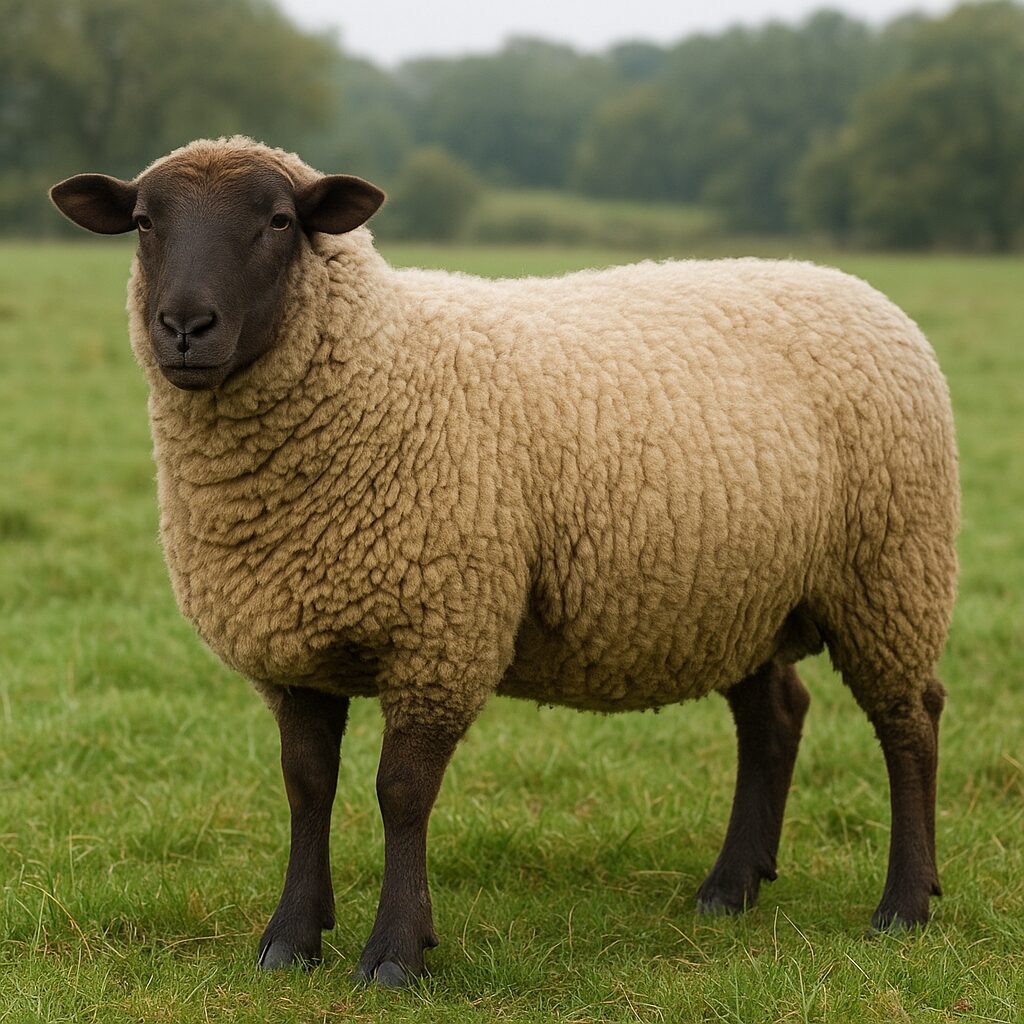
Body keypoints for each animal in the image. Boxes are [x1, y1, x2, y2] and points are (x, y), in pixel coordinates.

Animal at [50, 136, 959, 988]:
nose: (184, 328)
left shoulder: (443, 631)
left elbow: (400, 793)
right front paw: (289, 942)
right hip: (742, 593)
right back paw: (730, 889)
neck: (377, 362)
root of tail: (853, 285)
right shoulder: (292, 642)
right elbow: (306, 785)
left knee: (909, 723)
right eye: (143, 223)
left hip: (891, 569)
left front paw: (394, 955)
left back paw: (904, 907)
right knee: (775, 719)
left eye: (279, 221)